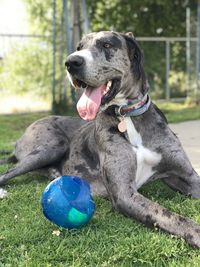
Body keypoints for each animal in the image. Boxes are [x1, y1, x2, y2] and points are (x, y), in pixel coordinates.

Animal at [0, 31, 200, 249]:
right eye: (79, 47)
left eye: (106, 44)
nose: (71, 62)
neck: (127, 115)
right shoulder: (124, 194)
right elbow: (167, 215)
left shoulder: (187, 176)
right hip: (52, 146)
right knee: (7, 172)